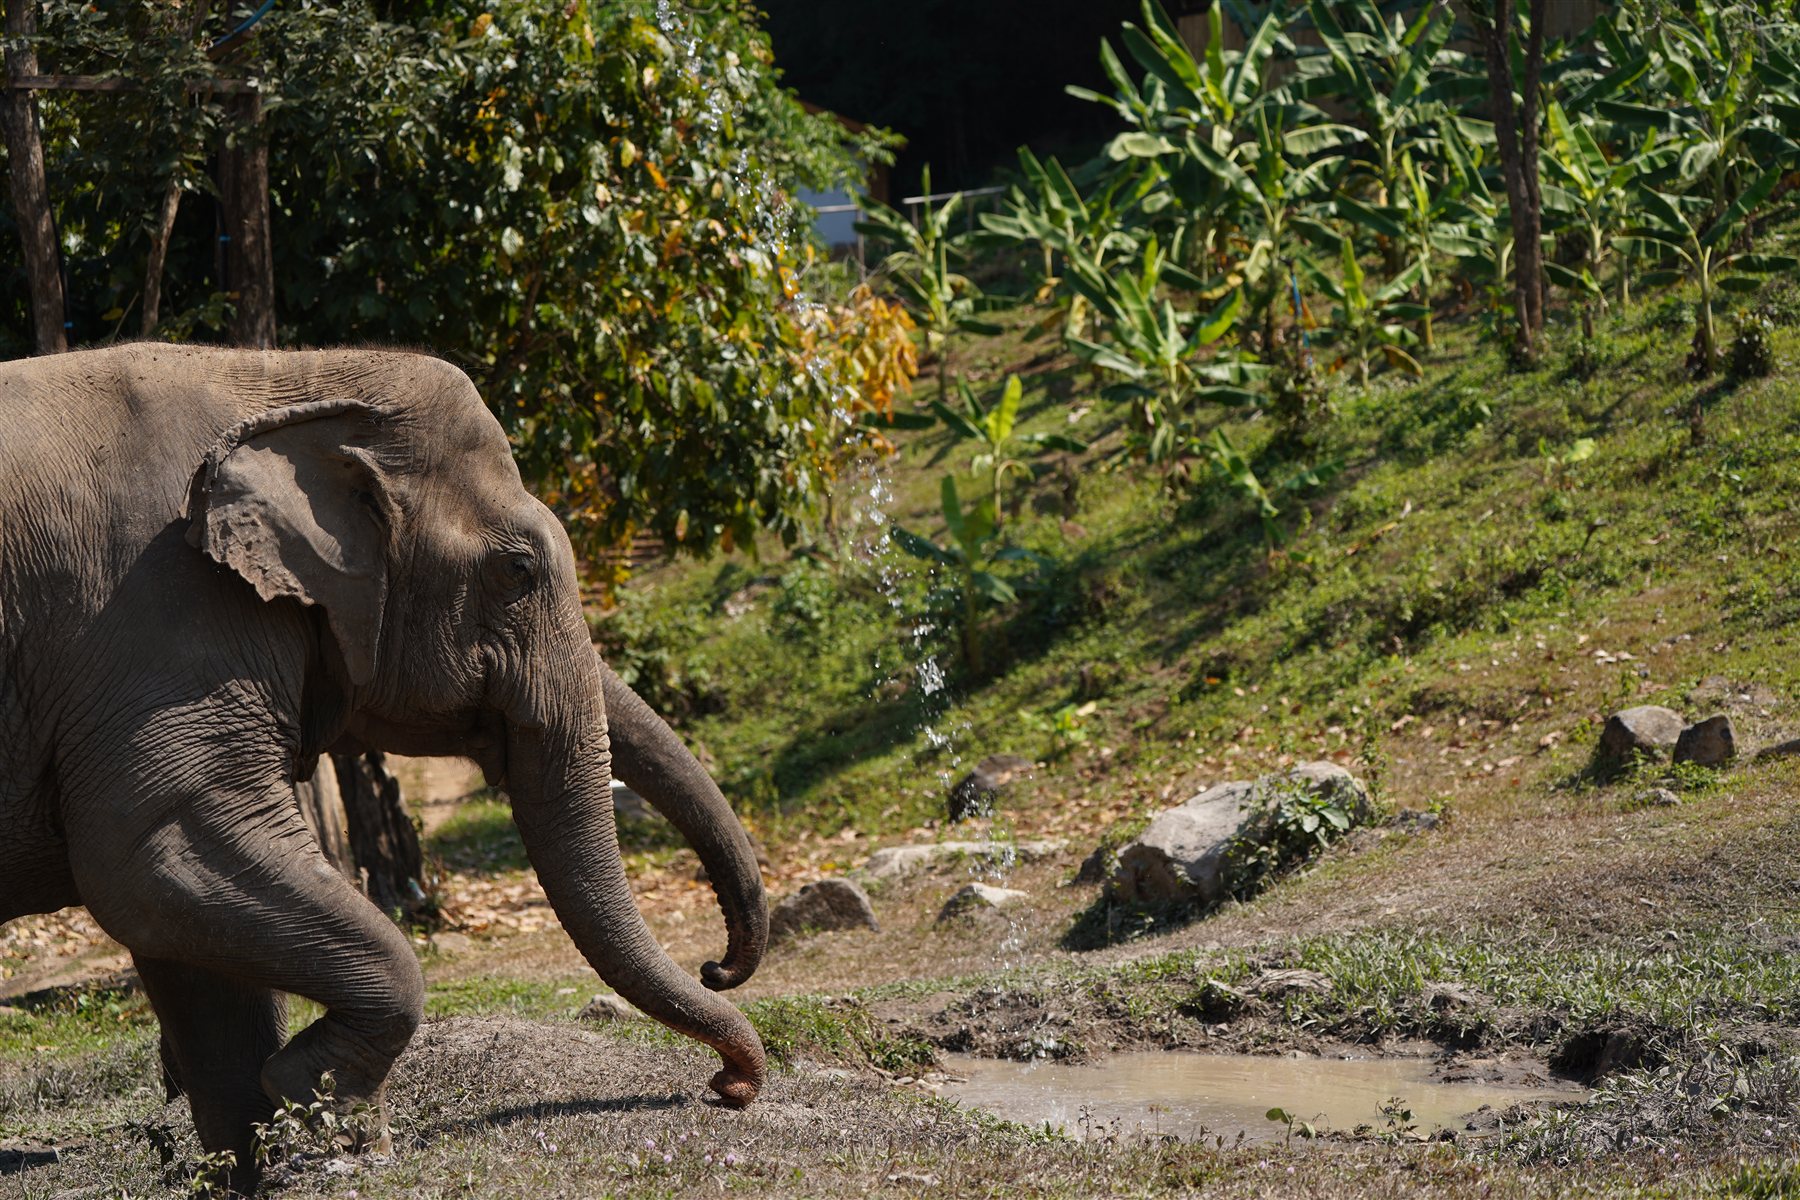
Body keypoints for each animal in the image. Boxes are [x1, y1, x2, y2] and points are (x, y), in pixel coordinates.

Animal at [0, 344, 768, 1182]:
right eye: (518, 571)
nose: (728, 1087)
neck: (289, 376)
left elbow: (190, 952)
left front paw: (266, 1159)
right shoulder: (158, 616)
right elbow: (152, 855)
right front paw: (340, 1126)